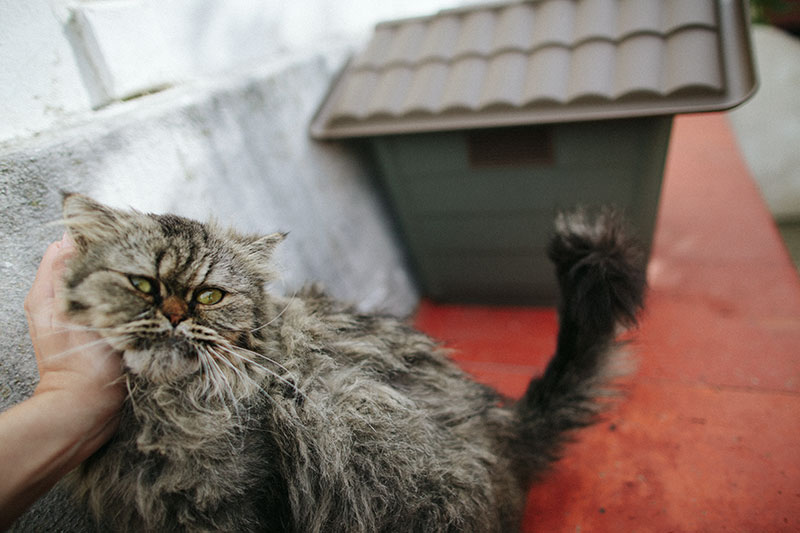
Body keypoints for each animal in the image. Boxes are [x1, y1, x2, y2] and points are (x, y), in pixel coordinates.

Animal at [57, 193, 644, 528]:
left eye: (210, 296)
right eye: (142, 285)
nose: (176, 315)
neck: (167, 414)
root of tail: (502, 423)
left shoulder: (242, 504)